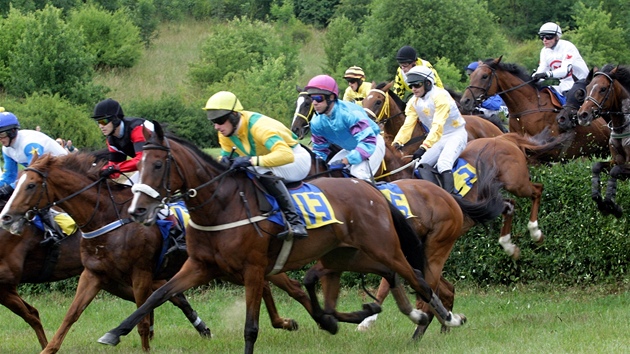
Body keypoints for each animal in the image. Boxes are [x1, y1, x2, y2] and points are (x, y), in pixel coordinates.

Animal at [0, 153, 217, 352]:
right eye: (17, 184)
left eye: (31, 185)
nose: (6, 217)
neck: (106, 217)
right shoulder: (93, 274)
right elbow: (69, 315)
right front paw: (48, 348)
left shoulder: (140, 273)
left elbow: (142, 319)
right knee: (172, 295)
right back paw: (200, 329)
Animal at [95, 122, 470, 354]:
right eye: (136, 164)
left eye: (158, 166)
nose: (137, 210)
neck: (221, 205)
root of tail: (370, 190)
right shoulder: (200, 266)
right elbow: (155, 296)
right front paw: (113, 332)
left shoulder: (253, 269)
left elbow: (251, 326)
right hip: (350, 254)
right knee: (382, 282)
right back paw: (380, 315)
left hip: (386, 248)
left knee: (418, 277)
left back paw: (444, 318)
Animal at [580, 65, 630, 217]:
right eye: (588, 87)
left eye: (603, 89)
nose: (582, 115)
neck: (622, 128)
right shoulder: (616, 160)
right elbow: (597, 166)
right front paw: (602, 203)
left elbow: (614, 171)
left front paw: (612, 205)